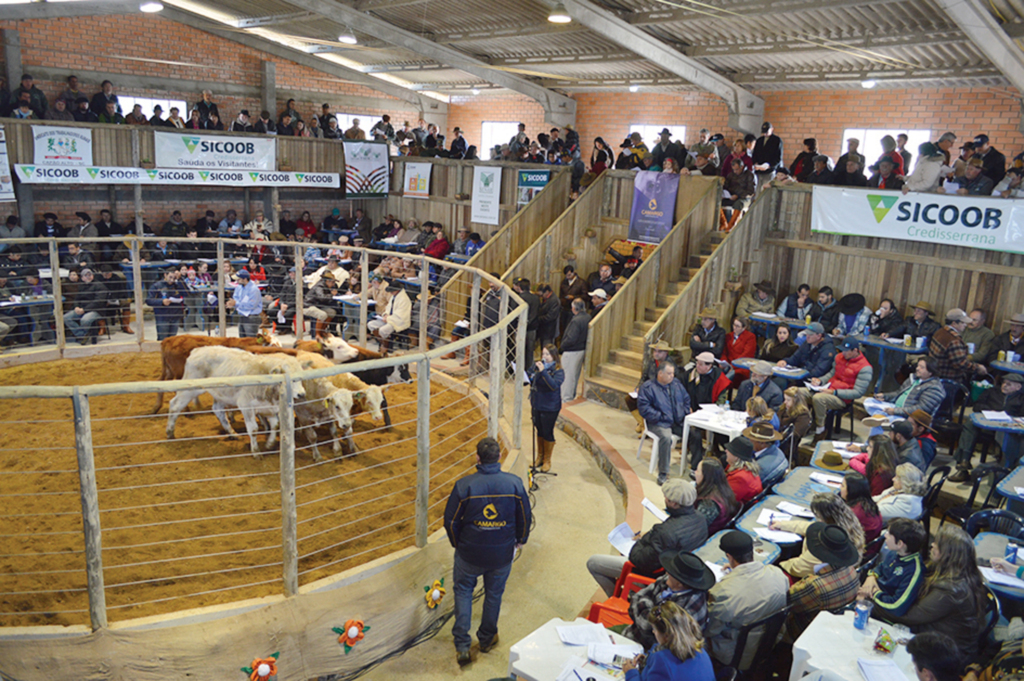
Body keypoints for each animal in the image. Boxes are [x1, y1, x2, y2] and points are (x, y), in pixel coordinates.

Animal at [166, 348, 307, 454]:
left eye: (301, 377)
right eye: (293, 379)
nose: (301, 394)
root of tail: (197, 350)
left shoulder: (270, 408)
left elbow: (275, 425)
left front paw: (270, 444)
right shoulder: (246, 406)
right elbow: (253, 429)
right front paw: (256, 452)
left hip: (220, 394)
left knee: (218, 411)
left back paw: (232, 433)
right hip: (190, 389)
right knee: (175, 405)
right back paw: (170, 433)